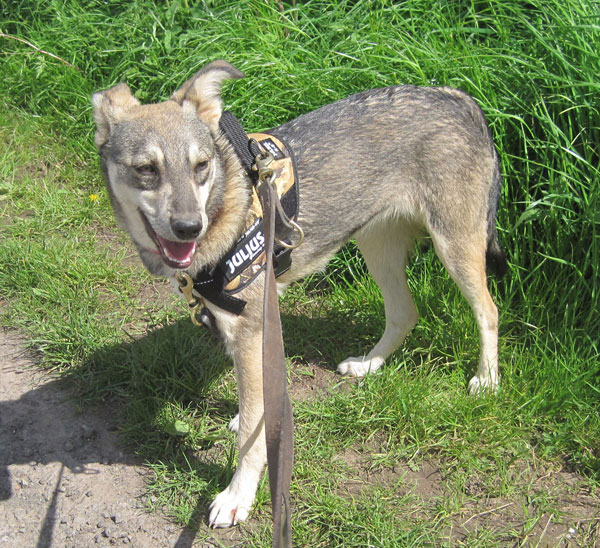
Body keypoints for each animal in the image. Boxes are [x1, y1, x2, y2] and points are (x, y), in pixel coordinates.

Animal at [91, 60, 508, 532]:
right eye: (146, 169)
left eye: (201, 165)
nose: (189, 227)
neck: (227, 207)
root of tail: (459, 98)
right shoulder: (247, 329)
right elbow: (255, 405)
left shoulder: (251, 330)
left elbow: (253, 435)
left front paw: (238, 496)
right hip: (376, 245)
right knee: (405, 313)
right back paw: (368, 365)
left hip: (455, 246)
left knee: (489, 312)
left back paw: (487, 380)